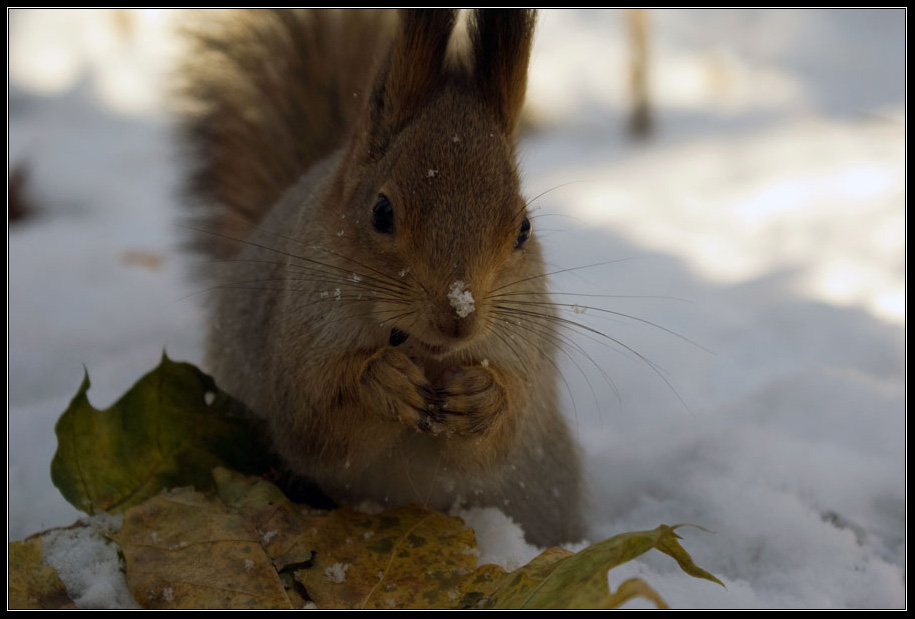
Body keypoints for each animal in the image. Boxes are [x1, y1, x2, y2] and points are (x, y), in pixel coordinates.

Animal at [175, 7, 584, 544]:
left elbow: (498, 444)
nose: (458, 319)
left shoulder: (522, 344)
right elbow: (316, 424)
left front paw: (483, 399)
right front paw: (381, 383)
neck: (422, 351)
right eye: (381, 212)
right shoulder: (301, 333)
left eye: (524, 229)